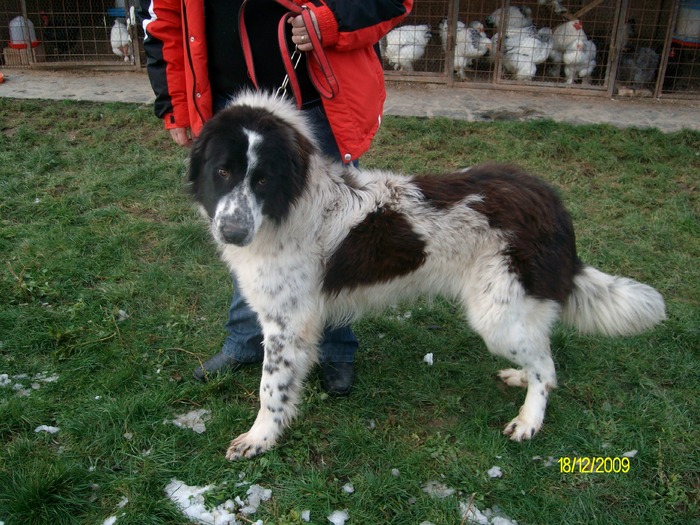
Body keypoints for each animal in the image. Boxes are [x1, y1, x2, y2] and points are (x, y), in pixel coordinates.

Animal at [187, 91, 668, 458]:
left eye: (263, 180)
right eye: (223, 171)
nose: (232, 232)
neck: (290, 204)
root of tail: (550, 200)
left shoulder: (287, 324)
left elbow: (271, 388)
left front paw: (260, 438)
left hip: (495, 315)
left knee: (545, 365)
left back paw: (528, 420)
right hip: (513, 310)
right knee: (543, 356)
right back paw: (521, 376)